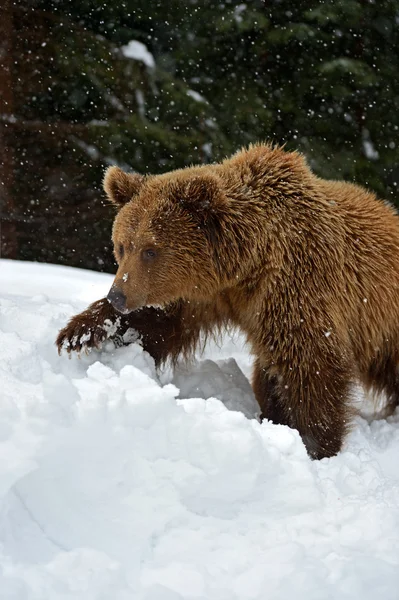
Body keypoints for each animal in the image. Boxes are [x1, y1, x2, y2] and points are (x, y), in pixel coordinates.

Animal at [57, 144, 399, 460]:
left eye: (150, 250)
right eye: (122, 245)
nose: (117, 295)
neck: (246, 266)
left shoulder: (295, 282)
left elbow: (311, 361)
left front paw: (316, 445)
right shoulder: (204, 294)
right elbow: (160, 322)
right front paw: (80, 333)